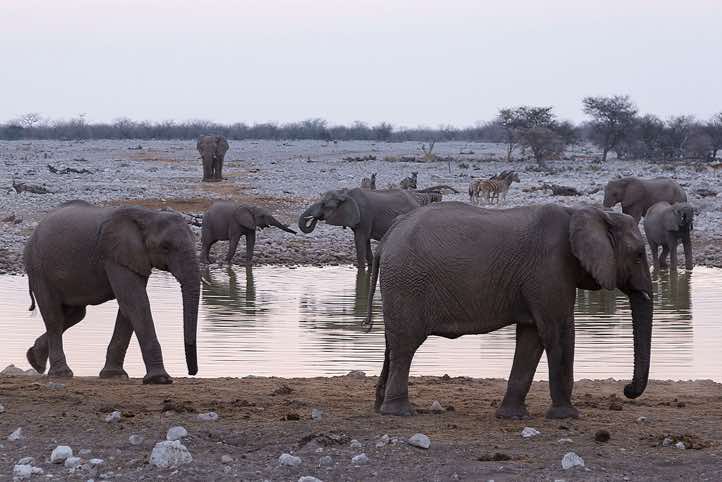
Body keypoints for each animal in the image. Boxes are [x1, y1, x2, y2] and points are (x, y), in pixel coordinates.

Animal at [23, 200, 200, 383]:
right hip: (38, 269)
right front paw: (159, 379)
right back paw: (60, 373)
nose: (192, 372)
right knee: (54, 316)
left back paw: (35, 360)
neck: (148, 216)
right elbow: (136, 302)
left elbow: (128, 307)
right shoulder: (114, 255)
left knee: (75, 314)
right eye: (165, 247)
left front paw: (114, 375)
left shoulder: (133, 259)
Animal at [365, 202, 653, 419]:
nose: (627, 389)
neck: (583, 212)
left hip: (400, 284)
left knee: (391, 344)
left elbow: (531, 337)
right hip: (407, 281)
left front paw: (512, 416)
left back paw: (380, 408)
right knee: (406, 344)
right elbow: (557, 332)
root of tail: (387, 238)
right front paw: (567, 416)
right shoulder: (550, 269)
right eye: (639, 255)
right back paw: (399, 412)